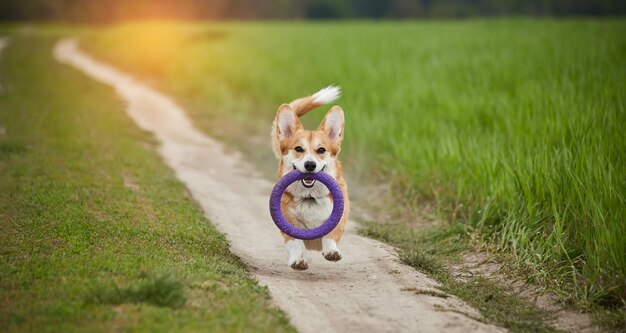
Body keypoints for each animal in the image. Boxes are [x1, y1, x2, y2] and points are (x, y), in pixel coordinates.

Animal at [270, 85, 348, 270]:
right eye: (299, 149)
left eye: (321, 150)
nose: (310, 165)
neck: (310, 197)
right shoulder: (289, 225)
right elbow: (296, 243)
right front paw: (298, 260)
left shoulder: (338, 218)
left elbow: (331, 235)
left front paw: (332, 251)